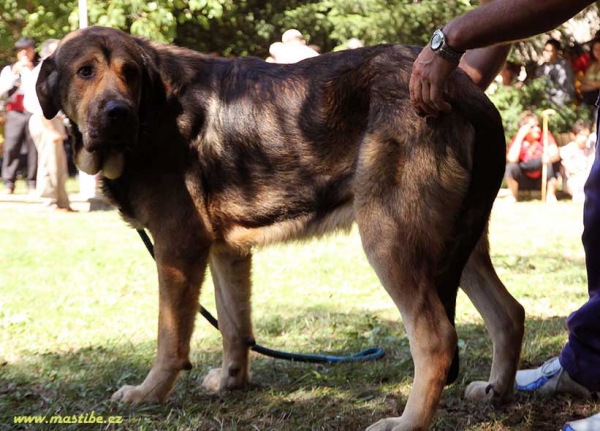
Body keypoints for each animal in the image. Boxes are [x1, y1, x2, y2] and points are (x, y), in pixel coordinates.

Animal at [38, 26, 524, 428]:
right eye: (84, 72)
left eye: (131, 73)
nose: (117, 113)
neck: (154, 109)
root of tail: (462, 89)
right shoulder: (225, 251)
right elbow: (234, 326)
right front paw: (231, 382)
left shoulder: (177, 248)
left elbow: (170, 338)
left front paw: (148, 393)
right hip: (453, 244)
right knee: (509, 313)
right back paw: (498, 393)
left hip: (392, 240)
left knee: (437, 339)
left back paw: (407, 423)